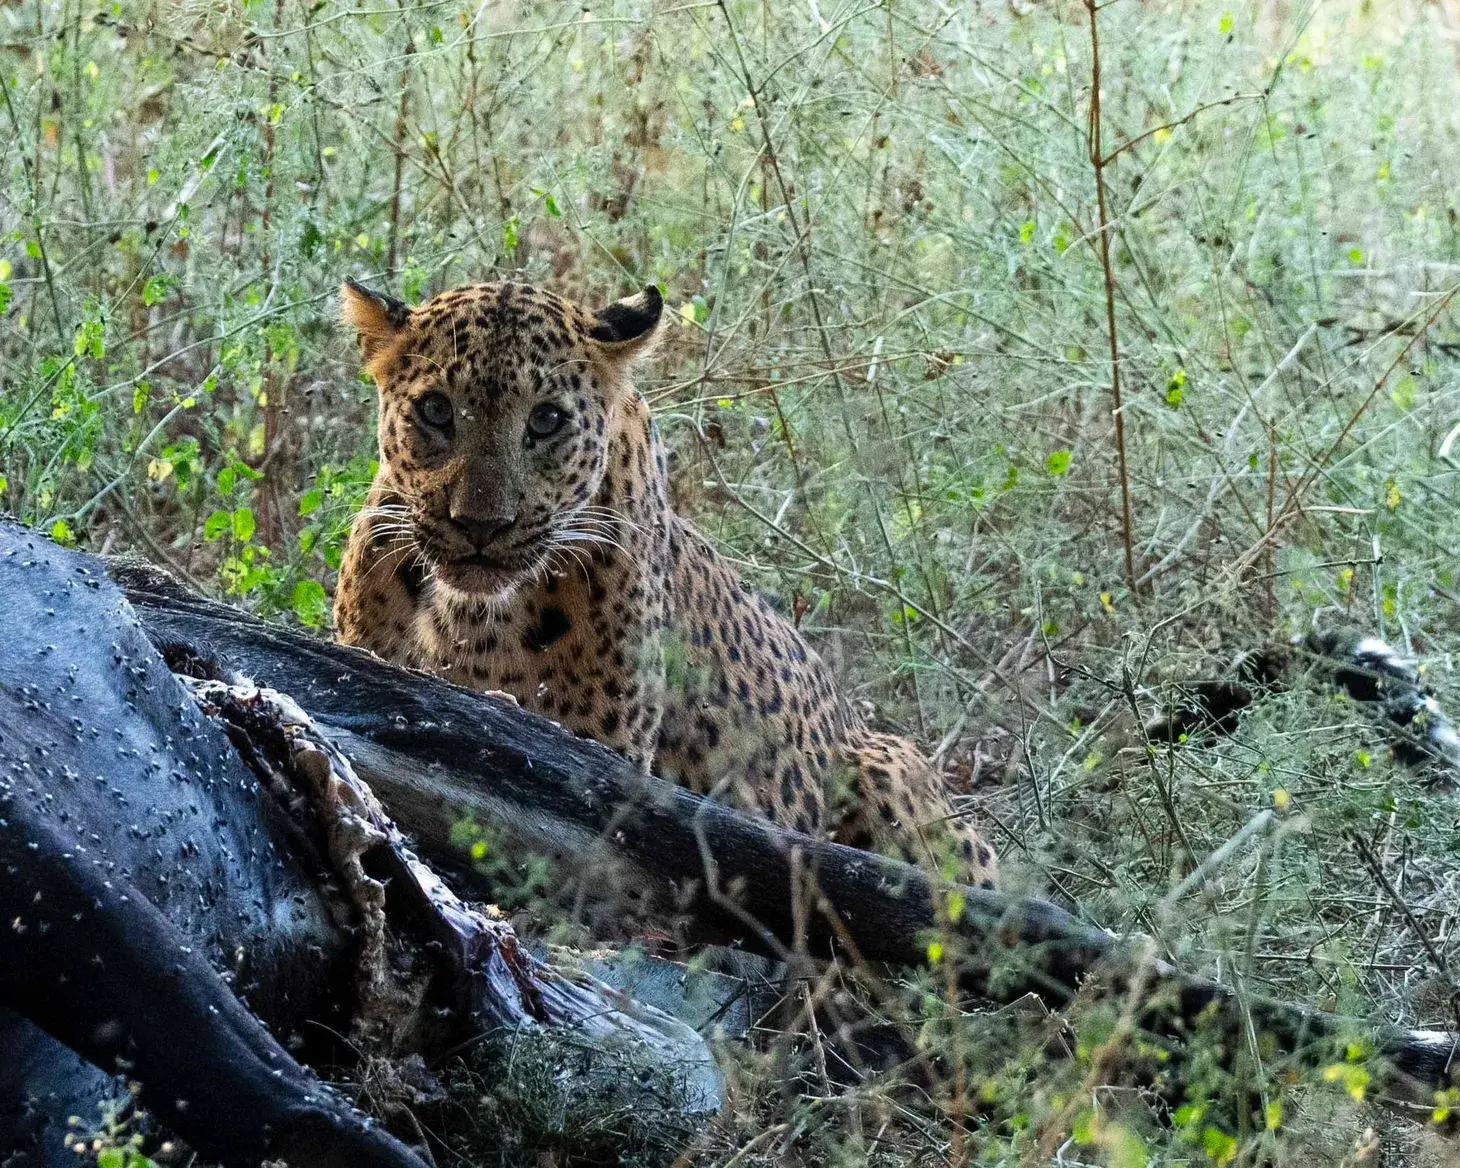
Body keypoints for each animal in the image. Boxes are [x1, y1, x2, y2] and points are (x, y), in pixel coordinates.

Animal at [333, 278, 998, 890]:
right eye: (436, 410)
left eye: (546, 421)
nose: (480, 525)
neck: (470, 616)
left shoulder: (601, 758)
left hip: (889, 762)